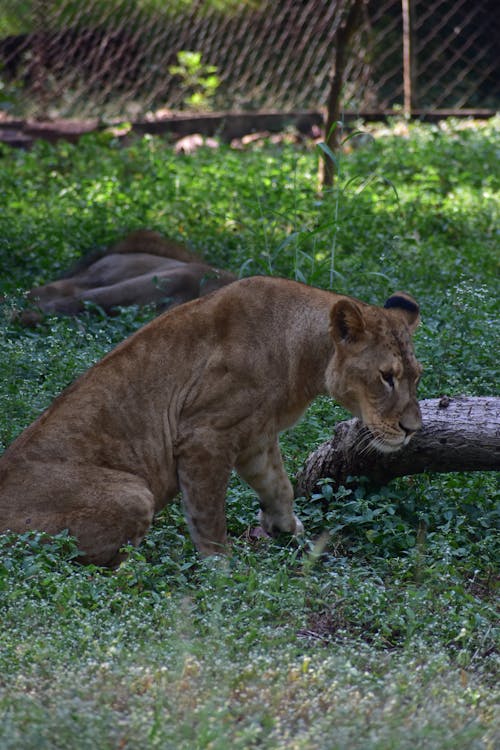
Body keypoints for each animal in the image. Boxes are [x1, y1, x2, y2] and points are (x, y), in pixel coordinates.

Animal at [0, 276, 422, 564]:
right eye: (386, 377)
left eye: (416, 376)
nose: (412, 429)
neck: (304, 357)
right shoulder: (204, 435)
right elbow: (208, 514)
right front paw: (224, 570)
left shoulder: (256, 436)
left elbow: (279, 486)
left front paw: (286, 529)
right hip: (134, 493)